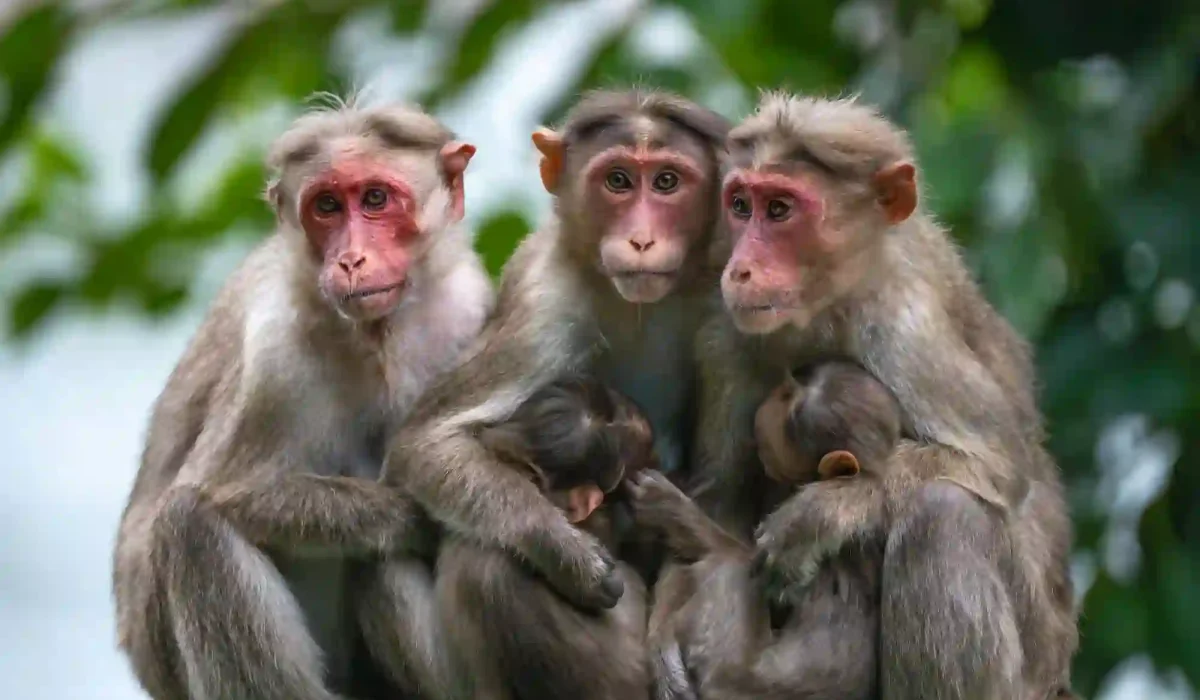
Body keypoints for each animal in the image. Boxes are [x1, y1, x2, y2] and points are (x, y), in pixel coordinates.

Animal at [111, 101, 494, 700]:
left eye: (376, 199)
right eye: (327, 206)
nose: (351, 260)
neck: (375, 336)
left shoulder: (465, 311)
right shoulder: (275, 354)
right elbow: (224, 489)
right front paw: (407, 513)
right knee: (189, 524)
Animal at [383, 89, 731, 615]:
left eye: (667, 182)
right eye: (618, 181)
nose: (641, 239)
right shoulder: (544, 303)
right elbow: (424, 444)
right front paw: (566, 551)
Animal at [681, 92, 1078, 699]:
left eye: (780, 210)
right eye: (741, 205)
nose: (741, 268)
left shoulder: (903, 324)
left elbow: (999, 465)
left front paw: (823, 513)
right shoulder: (725, 330)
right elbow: (721, 497)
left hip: (1031, 657)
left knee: (942, 515)